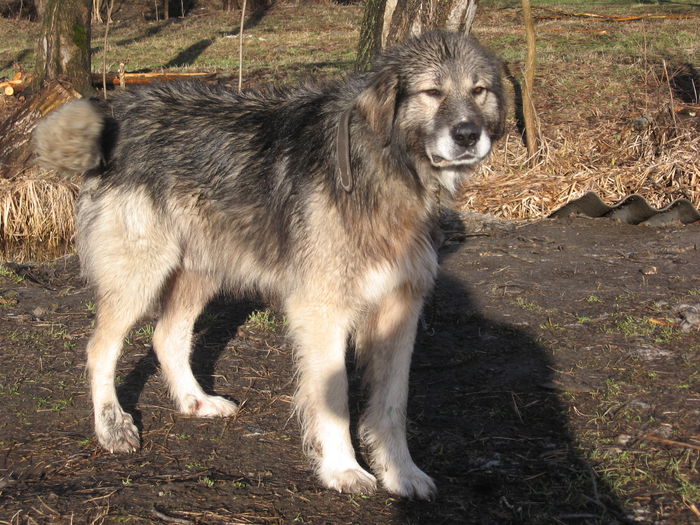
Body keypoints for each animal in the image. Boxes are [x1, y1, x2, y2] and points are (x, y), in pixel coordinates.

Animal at [34, 30, 504, 498]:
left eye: (478, 91)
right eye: (432, 92)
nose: (468, 135)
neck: (382, 167)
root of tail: (119, 111)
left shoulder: (399, 311)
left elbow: (393, 404)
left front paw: (401, 473)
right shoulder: (322, 312)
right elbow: (334, 399)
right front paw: (343, 469)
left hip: (200, 272)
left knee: (166, 337)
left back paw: (195, 401)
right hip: (140, 275)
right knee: (100, 348)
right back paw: (111, 427)